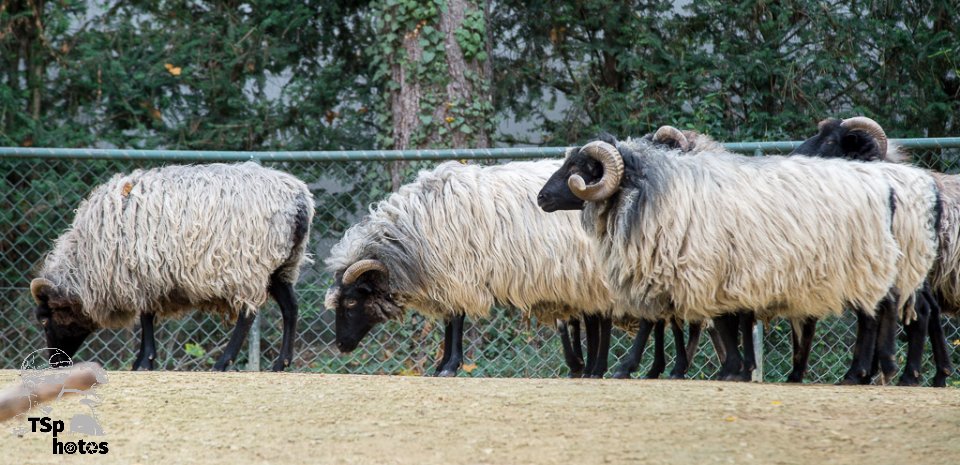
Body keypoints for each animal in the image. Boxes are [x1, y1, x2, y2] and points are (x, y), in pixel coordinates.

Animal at [30, 162, 314, 372]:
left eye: (44, 319)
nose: (55, 363)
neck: (86, 261)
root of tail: (299, 200)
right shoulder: (147, 275)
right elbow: (147, 316)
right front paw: (142, 360)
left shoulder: (142, 272)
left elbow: (145, 317)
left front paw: (144, 361)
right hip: (282, 265)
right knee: (290, 307)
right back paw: (281, 363)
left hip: (247, 264)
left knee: (248, 314)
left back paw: (224, 362)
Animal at [536, 136, 940, 382]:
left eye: (579, 168)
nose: (541, 197)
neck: (651, 192)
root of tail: (887, 186)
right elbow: (724, 322)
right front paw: (737, 368)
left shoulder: (705, 268)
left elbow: (715, 322)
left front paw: (729, 369)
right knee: (878, 310)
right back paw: (873, 370)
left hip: (864, 262)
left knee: (876, 314)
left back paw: (870, 371)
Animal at [792, 116, 955, 386]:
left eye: (830, 141)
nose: (794, 157)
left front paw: (860, 372)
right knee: (927, 309)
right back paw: (935, 374)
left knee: (919, 310)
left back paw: (907, 376)